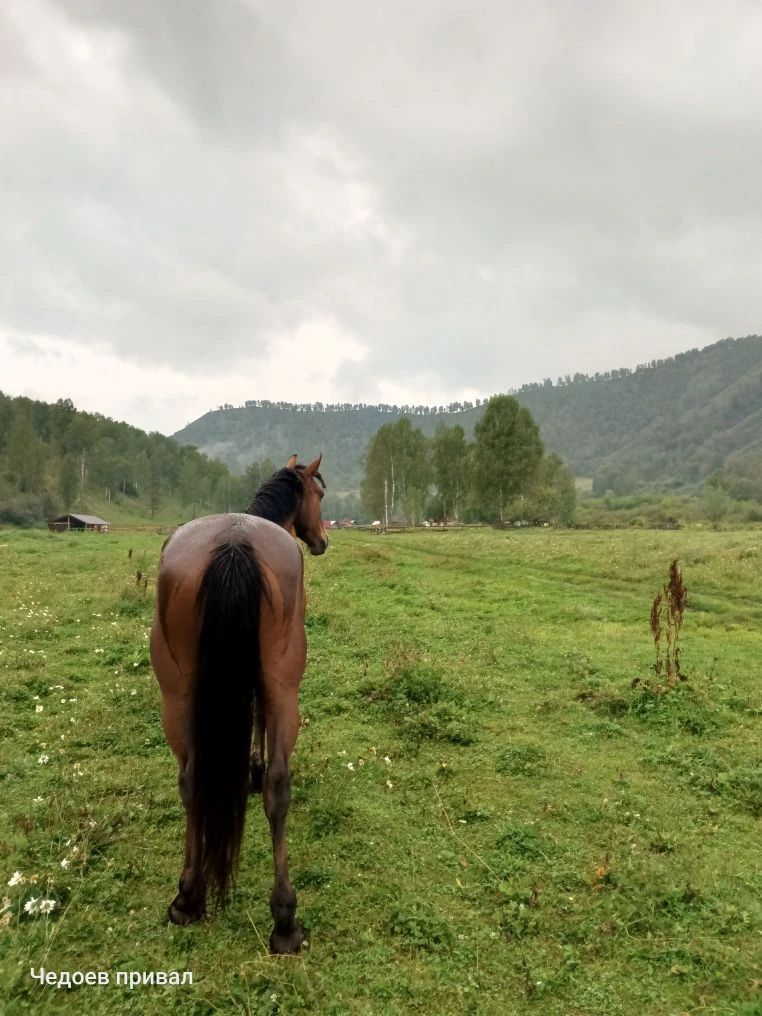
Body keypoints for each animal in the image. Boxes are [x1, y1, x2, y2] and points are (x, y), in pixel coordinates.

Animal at [150, 453, 327, 954]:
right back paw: (286, 920)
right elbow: (260, 724)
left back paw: (187, 897)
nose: (323, 541)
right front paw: (253, 766)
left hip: (177, 696)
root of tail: (233, 543)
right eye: (319, 494)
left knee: (190, 782)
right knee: (279, 788)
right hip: (286, 688)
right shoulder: (270, 684)